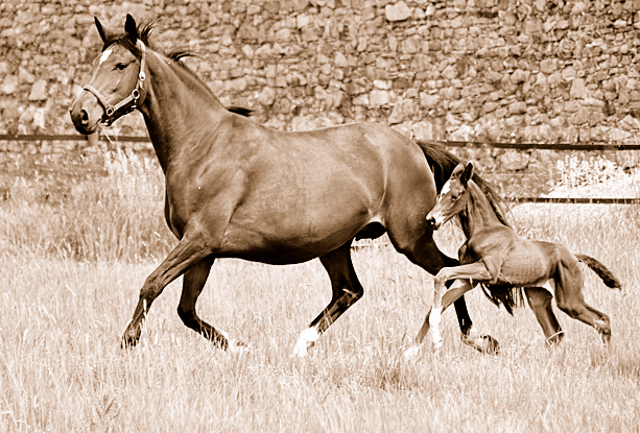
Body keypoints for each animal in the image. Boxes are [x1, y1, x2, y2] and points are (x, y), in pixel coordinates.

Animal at [70, 15, 500, 356]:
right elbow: (186, 310)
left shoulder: (199, 240)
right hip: (336, 245)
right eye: (95, 63)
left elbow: (151, 284)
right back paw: (302, 344)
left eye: (121, 65)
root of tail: (412, 144)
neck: (203, 144)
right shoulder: (202, 250)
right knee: (350, 290)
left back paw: (477, 338)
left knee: (448, 270)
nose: (80, 114)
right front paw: (239, 347)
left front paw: (127, 341)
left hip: (410, 237)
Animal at [416, 162, 620, 352]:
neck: (484, 231)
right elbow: (435, 306)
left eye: (455, 196)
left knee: (601, 321)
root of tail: (574, 256)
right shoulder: (470, 279)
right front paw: (413, 351)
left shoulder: (488, 271)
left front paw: (436, 341)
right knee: (554, 334)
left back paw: (606, 357)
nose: (431, 220)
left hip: (569, 301)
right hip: (538, 298)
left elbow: (442, 273)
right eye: (440, 194)